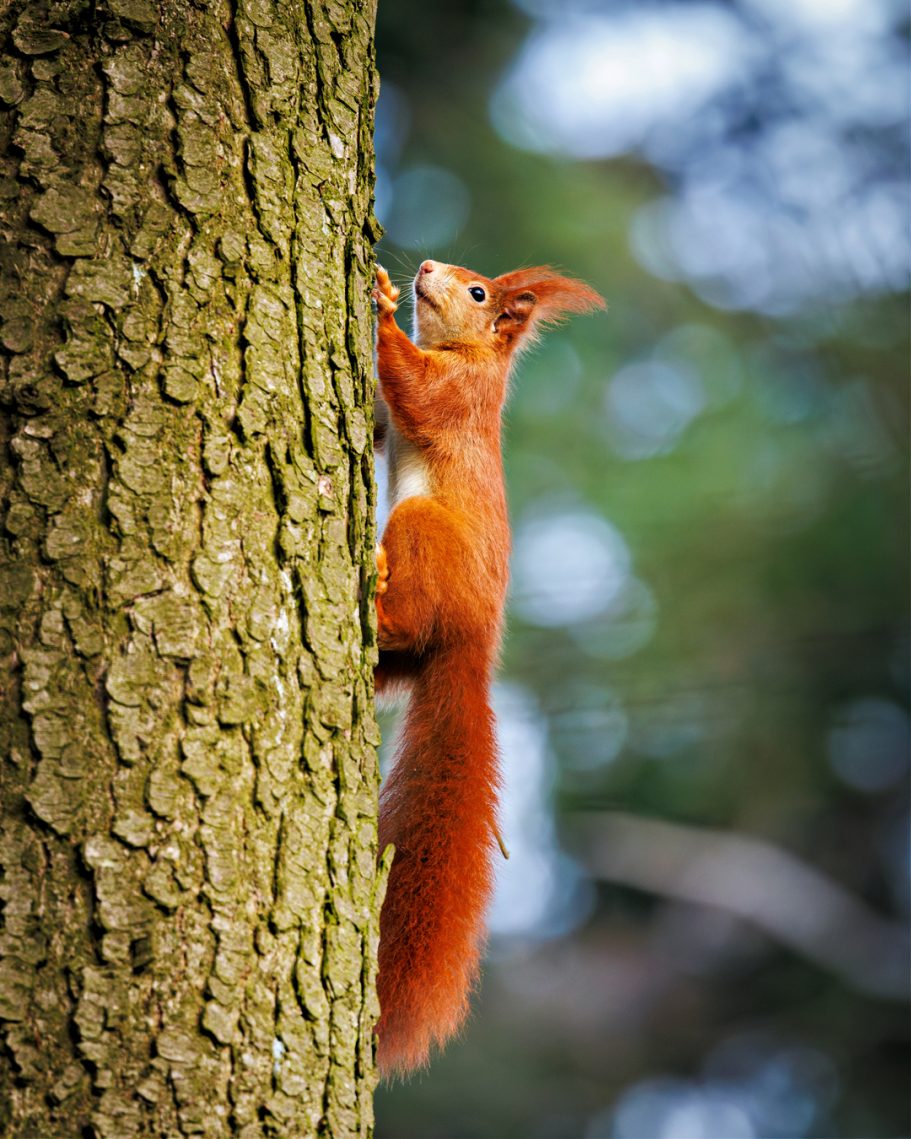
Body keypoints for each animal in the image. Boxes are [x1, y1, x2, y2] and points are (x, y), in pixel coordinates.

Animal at [371, 259, 604, 1076]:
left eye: (477, 293)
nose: (424, 268)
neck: (475, 358)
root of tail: (472, 645)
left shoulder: (457, 394)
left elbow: (414, 390)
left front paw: (381, 305)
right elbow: (387, 419)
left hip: (421, 533)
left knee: (405, 615)